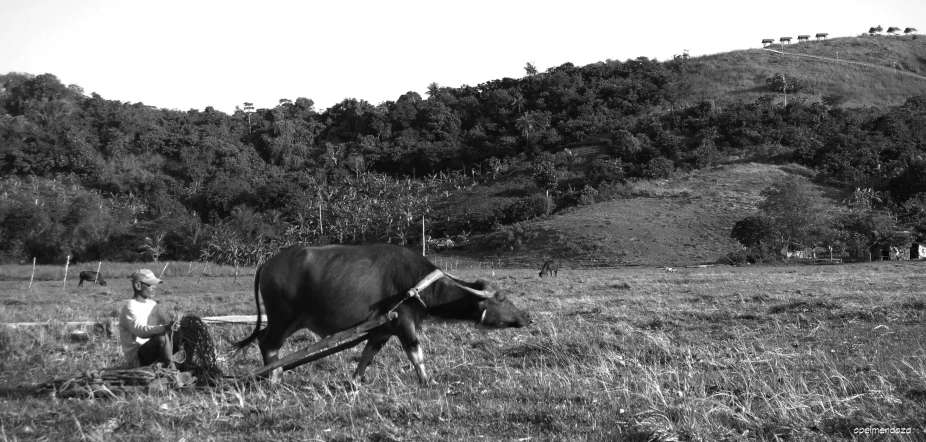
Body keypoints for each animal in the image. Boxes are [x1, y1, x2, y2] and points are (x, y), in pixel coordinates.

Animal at [236, 243, 532, 386]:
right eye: (501, 298)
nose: (527, 317)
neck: (417, 287)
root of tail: (267, 264)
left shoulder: (382, 330)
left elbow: (368, 355)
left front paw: (355, 382)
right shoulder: (404, 323)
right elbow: (416, 354)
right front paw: (428, 382)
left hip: (284, 319)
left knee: (263, 339)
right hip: (285, 318)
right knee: (268, 344)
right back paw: (274, 379)